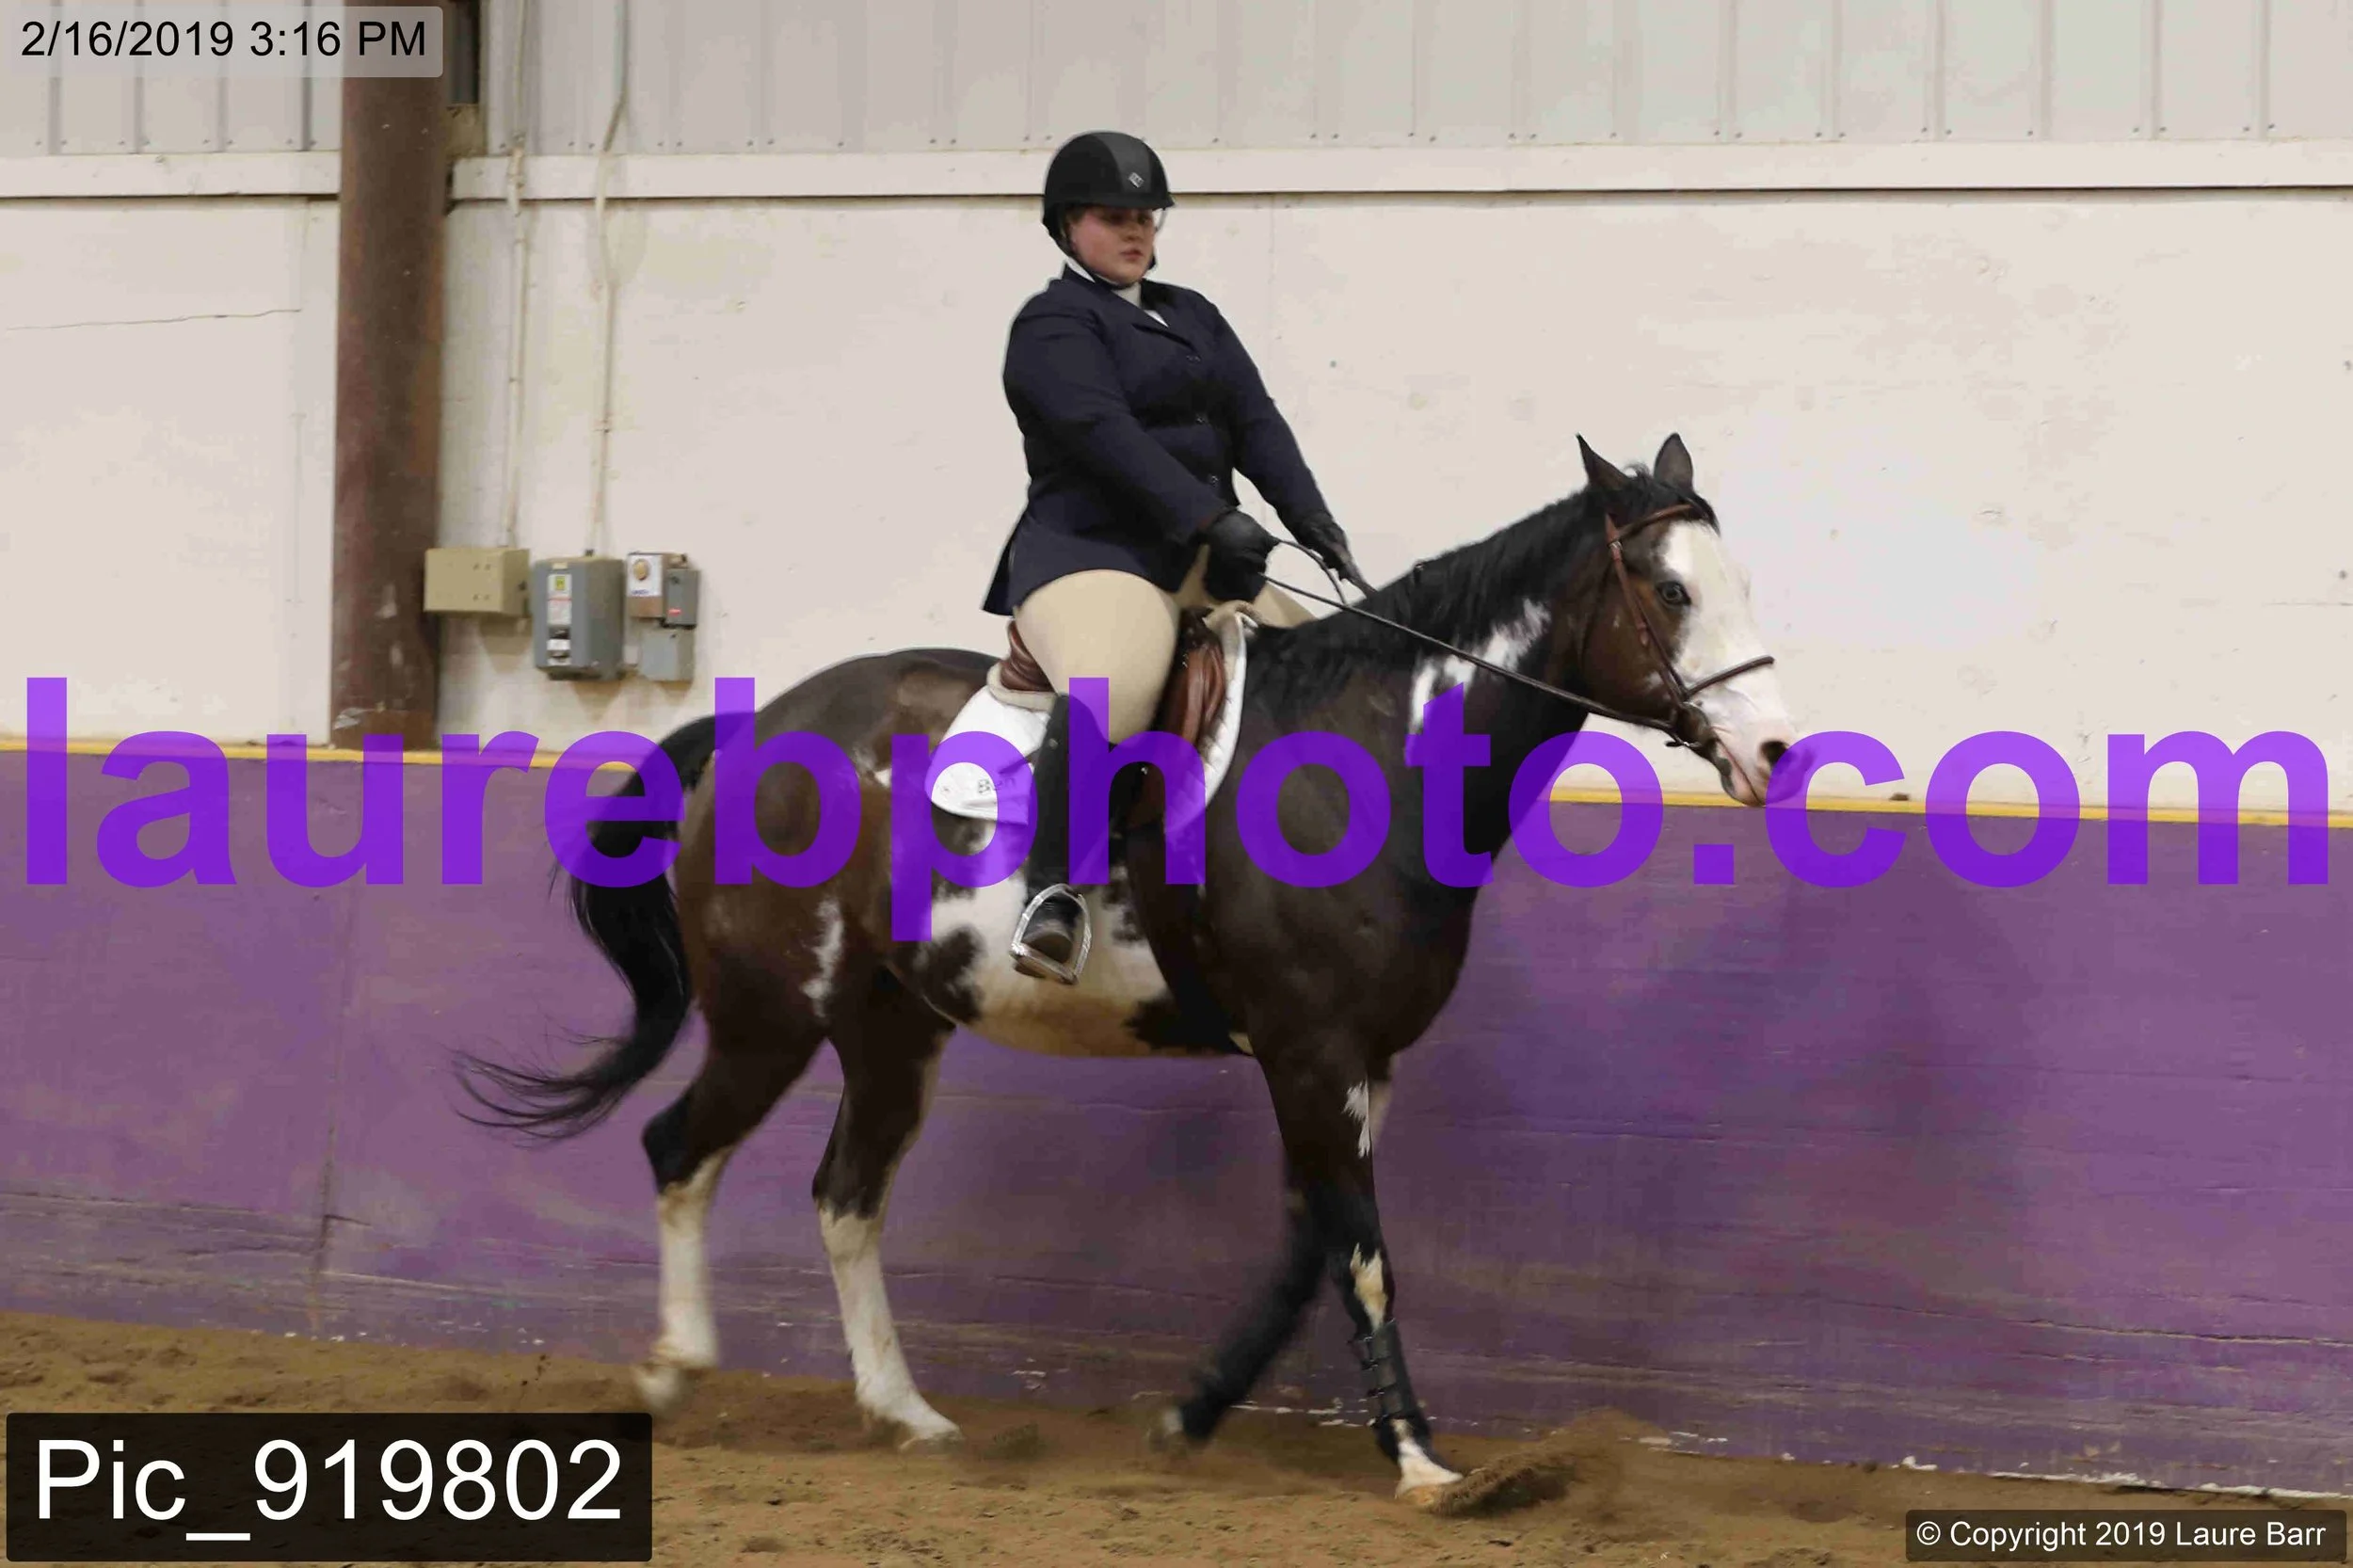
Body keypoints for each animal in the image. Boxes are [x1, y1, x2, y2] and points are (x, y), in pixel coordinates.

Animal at [457, 433, 1800, 1508]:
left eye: (1736, 583)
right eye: (1670, 589)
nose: (1777, 753)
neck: (1375, 756)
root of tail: (759, 730)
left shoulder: (1355, 1058)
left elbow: (1311, 1244)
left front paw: (1189, 1413)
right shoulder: (1313, 1051)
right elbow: (1362, 1252)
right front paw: (1420, 1459)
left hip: (892, 1028)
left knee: (845, 1195)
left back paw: (907, 1413)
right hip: (769, 1015)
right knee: (679, 1151)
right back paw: (675, 1373)